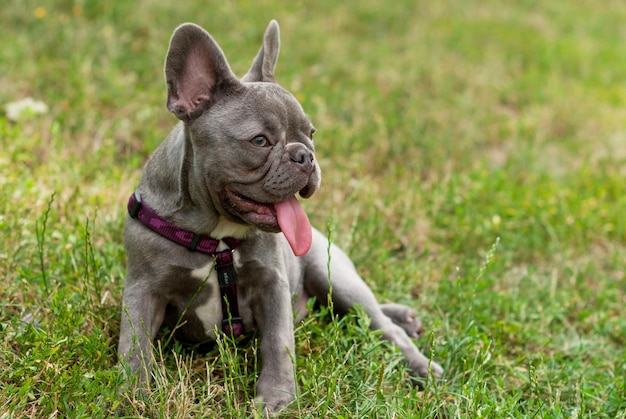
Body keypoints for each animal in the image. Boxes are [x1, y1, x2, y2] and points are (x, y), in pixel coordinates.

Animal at [117, 19, 438, 414]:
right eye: (260, 141)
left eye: (311, 134)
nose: (305, 155)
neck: (215, 239)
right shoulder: (142, 290)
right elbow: (134, 348)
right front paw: (131, 399)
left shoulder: (272, 283)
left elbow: (277, 342)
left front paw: (277, 397)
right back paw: (405, 317)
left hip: (333, 275)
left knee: (376, 321)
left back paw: (417, 360)